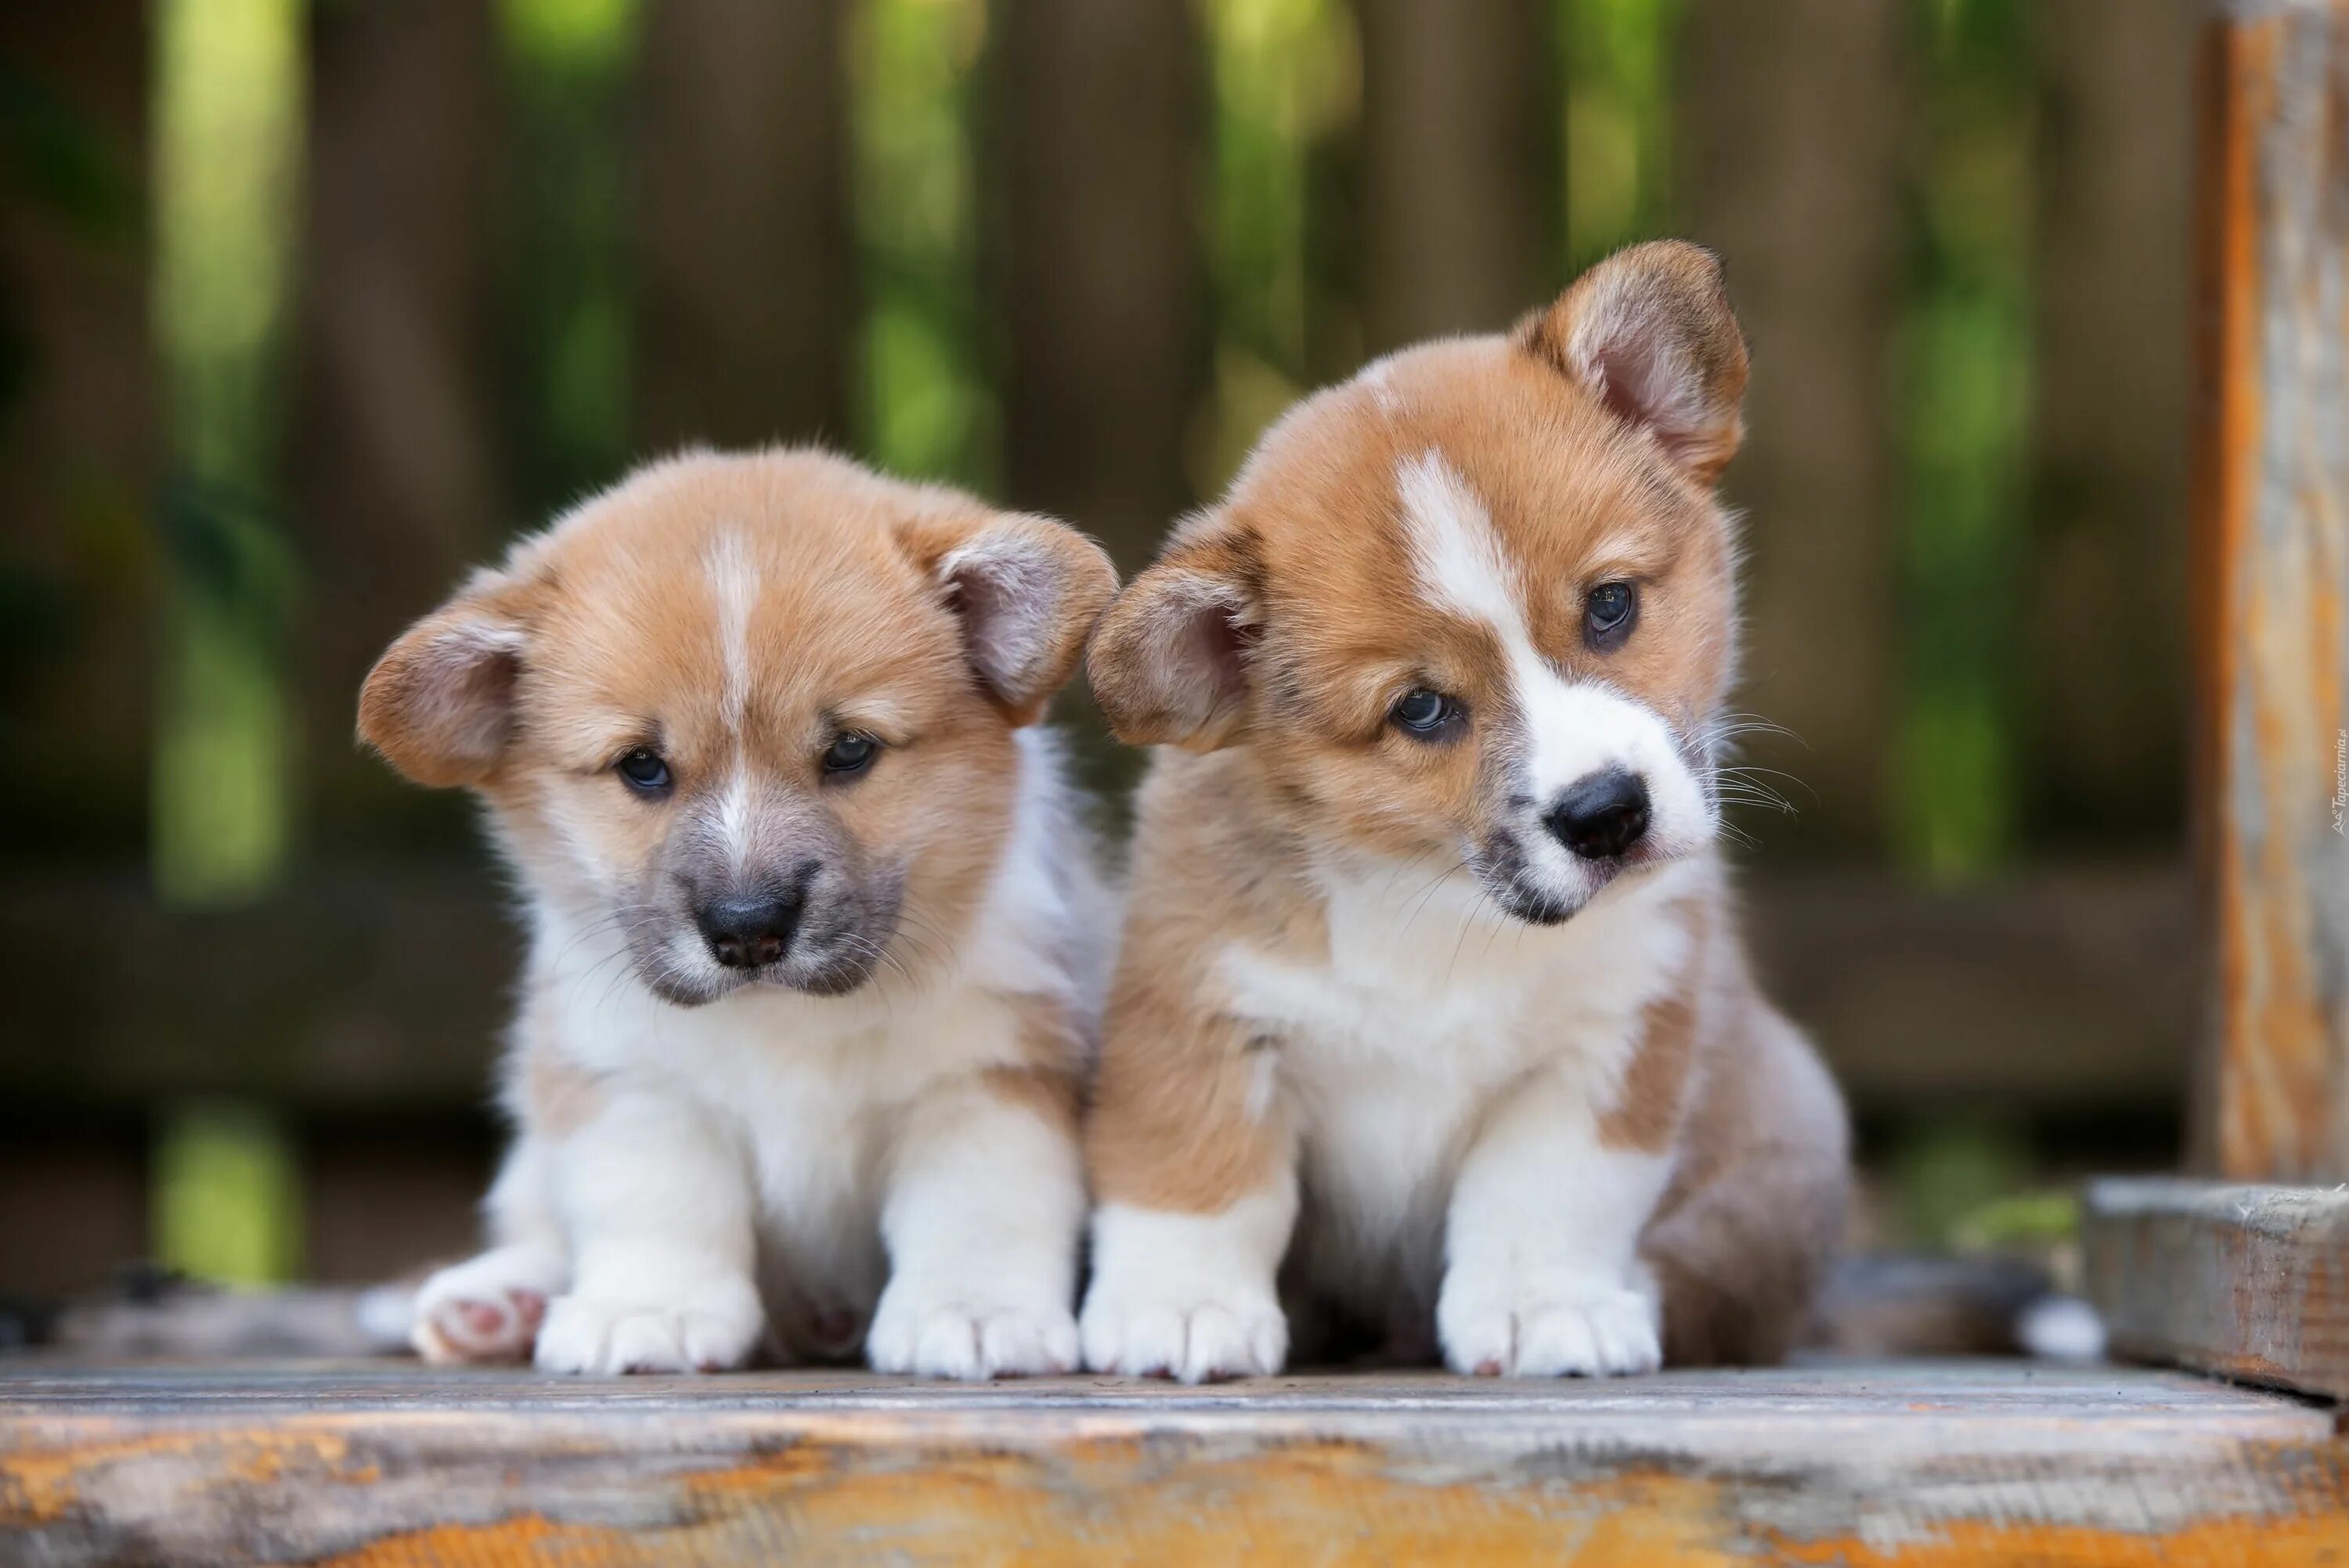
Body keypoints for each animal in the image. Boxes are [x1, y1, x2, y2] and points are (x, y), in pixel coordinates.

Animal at [357, 445, 1118, 1380]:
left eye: (851, 749)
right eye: (641, 766)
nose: (749, 927)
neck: (782, 1018)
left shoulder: (992, 1070)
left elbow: (976, 1207)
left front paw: (973, 1310)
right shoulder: (630, 1079)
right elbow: (658, 1201)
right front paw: (648, 1309)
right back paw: (498, 1301)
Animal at [1076, 239, 1851, 1380]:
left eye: (1610, 604)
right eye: (1421, 707)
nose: (1608, 814)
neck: (1438, 899)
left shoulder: (1611, 1039)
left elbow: (1543, 1193)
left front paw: (1543, 1305)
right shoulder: (1198, 1007)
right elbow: (1199, 1170)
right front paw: (1179, 1305)